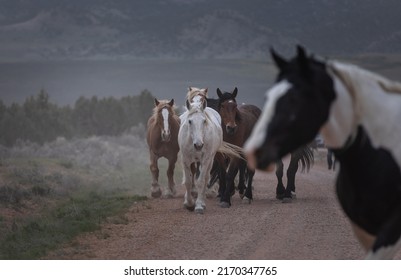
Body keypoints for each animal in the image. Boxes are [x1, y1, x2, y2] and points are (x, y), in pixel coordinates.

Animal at [242, 45, 400, 258]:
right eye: (268, 99)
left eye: (294, 99)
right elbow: (277, 170)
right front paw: (275, 192)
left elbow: (290, 170)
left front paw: (286, 193)